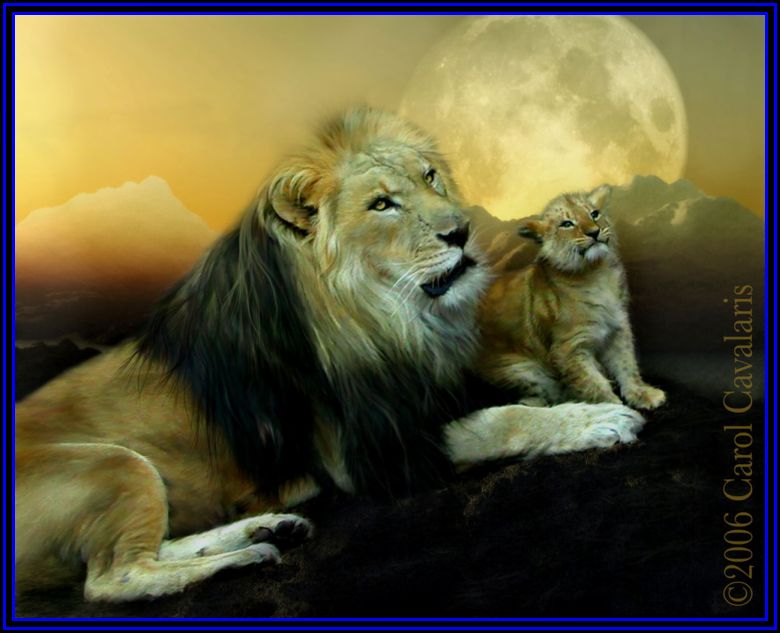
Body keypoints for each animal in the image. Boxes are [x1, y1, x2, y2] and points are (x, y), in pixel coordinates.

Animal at [15, 107, 645, 603]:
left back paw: (264, 530)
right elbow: (502, 422)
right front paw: (597, 418)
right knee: (111, 580)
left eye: (430, 177)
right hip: (112, 464)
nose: (463, 232)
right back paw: (240, 559)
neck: (388, 316)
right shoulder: (369, 451)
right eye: (382, 205)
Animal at [476, 186, 666, 409]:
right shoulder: (569, 347)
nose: (594, 232)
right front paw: (612, 409)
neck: (596, 273)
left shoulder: (617, 329)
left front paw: (642, 393)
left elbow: (626, 364)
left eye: (594, 214)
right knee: (547, 394)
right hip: (520, 369)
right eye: (567, 224)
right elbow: (591, 383)